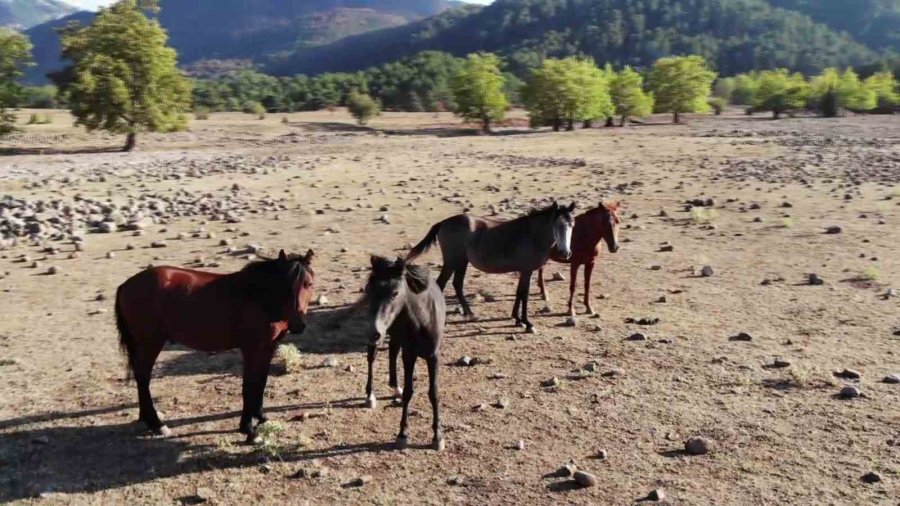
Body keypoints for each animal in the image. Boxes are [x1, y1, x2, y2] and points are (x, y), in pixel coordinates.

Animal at [115, 251, 316, 440]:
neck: (258, 296)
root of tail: (127, 284)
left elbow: (261, 382)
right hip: (150, 343)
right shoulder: (251, 349)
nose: (298, 324)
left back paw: (147, 419)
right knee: (143, 377)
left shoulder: (268, 347)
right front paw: (248, 430)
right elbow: (248, 386)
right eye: (285, 286)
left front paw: (261, 417)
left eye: (309, 284)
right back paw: (157, 424)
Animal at [366, 256, 446, 450]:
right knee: (372, 356)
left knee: (392, 350)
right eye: (369, 291)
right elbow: (410, 391)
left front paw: (438, 436)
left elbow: (434, 393)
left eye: (395, 293)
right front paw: (402, 434)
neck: (423, 320)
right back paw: (370, 396)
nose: (374, 332)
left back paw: (396, 389)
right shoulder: (409, 354)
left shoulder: (434, 357)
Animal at [408, 200, 576, 334]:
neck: (532, 234)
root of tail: (444, 222)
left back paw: (470, 314)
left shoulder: (524, 271)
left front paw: (517, 319)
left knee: (457, 284)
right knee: (442, 284)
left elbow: (519, 292)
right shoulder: (527, 271)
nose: (565, 253)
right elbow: (525, 294)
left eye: (571, 224)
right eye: (557, 225)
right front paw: (527, 323)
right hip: (452, 262)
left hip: (462, 262)